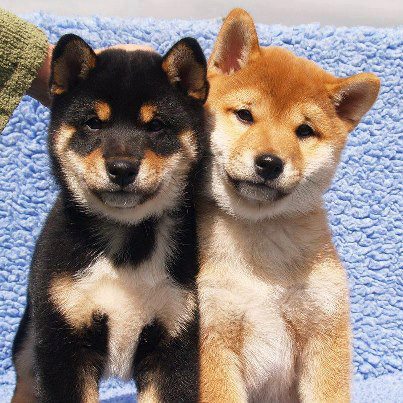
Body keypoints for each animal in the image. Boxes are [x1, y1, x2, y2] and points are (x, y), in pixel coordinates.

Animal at [12, 34, 208, 403]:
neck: (127, 243)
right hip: (31, 340)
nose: (121, 168)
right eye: (93, 123)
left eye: (155, 126)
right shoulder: (62, 346)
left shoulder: (175, 344)